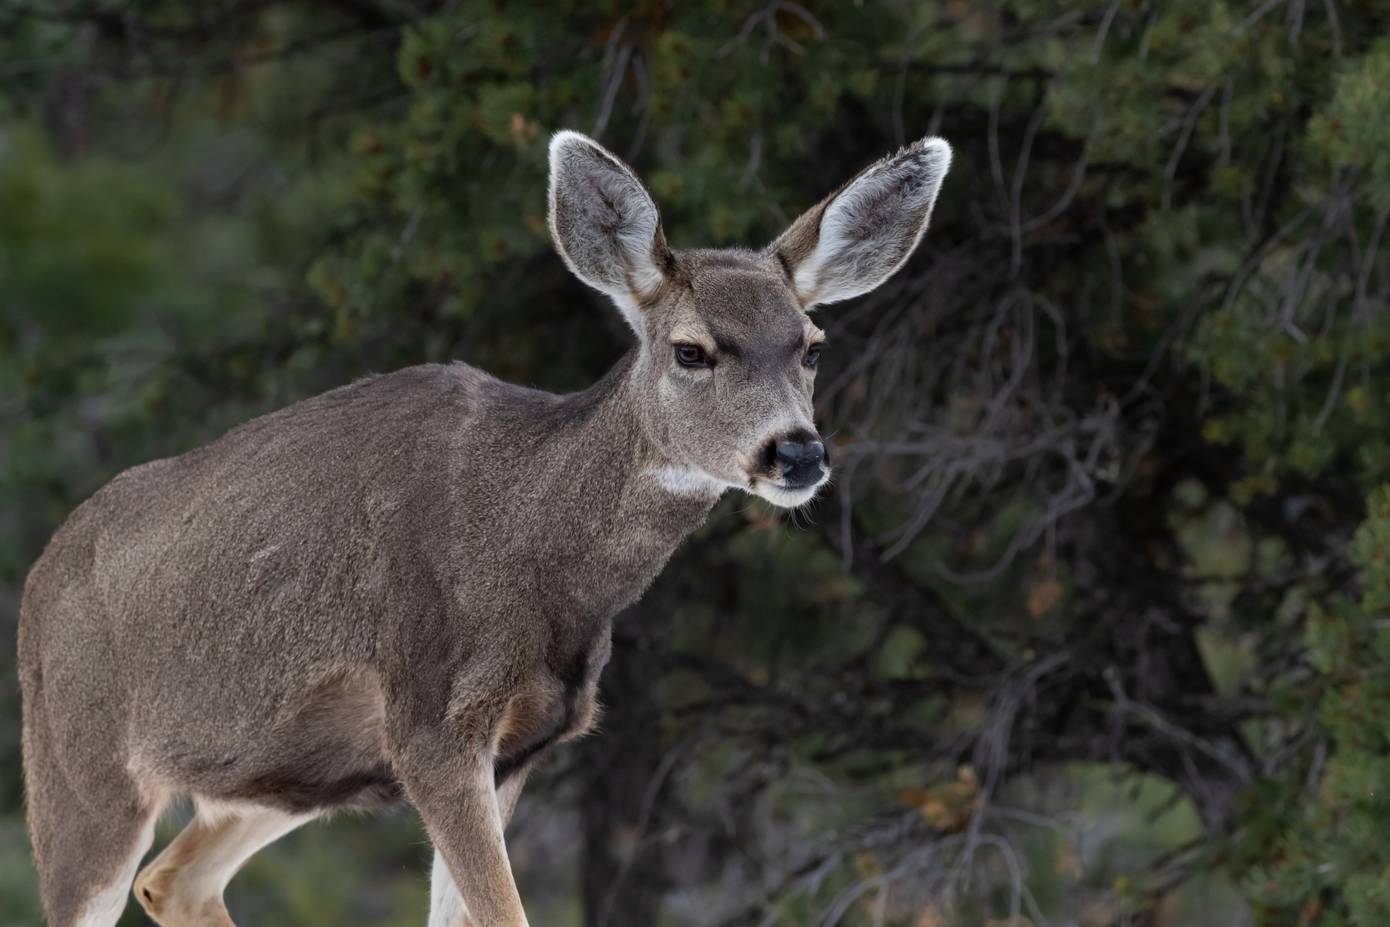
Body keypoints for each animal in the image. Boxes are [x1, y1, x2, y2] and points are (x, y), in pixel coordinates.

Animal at [19, 127, 956, 922]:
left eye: (812, 344)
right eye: (691, 348)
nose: (796, 451)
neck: (539, 553)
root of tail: (38, 576)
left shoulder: (522, 742)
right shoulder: (434, 718)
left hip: (290, 776)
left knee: (173, 879)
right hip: (80, 767)